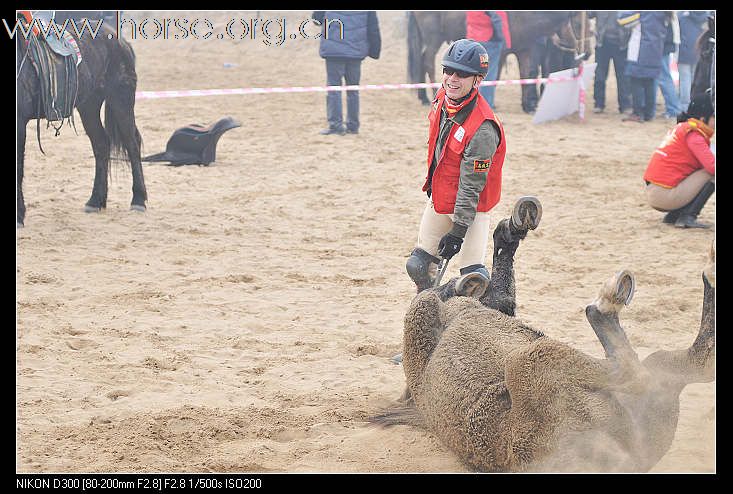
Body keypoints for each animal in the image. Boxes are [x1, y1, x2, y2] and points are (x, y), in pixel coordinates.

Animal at [15, 12, 146, 227]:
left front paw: (19, 216)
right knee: (101, 145)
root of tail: (119, 39)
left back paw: (139, 200)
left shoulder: (19, 124)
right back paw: (95, 201)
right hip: (89, 107)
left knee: (132, 145)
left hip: (120, 100)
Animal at [408, 10, 592, 112]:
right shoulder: (501, 52)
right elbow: (495, 77)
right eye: (579, 24)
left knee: (421, 62)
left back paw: (423, 97)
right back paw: (433, 94)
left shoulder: (524, 50)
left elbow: (527, 74)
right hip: (434, 39)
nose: (588, 52)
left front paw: (527, 106)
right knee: (428, 63)